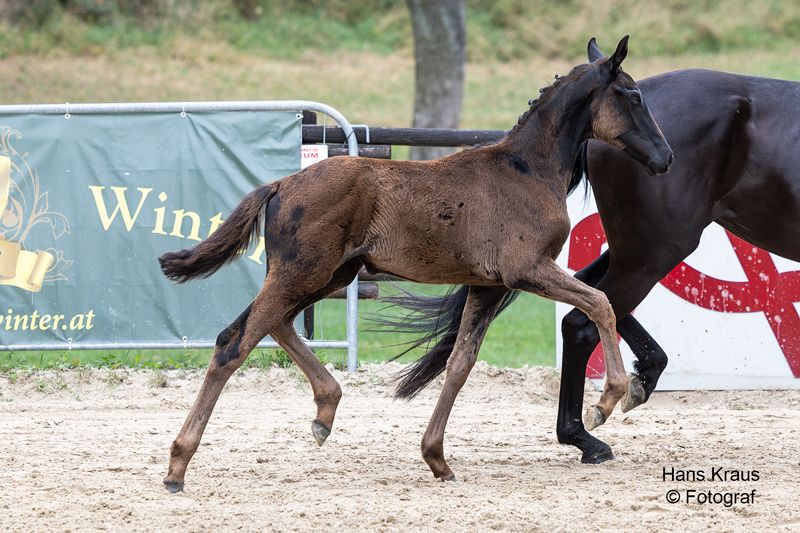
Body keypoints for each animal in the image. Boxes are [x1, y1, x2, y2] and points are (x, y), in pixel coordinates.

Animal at [158, 36, 672, 491]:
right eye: (633, 95)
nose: (665, 157)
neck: (527, 170)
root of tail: (281, 184)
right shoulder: (527, 269)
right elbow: (600, 302)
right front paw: (609, 400)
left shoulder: (487, 285)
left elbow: (460, 364)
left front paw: (436, 458)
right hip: (303, 272)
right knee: (234, 342)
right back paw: (178, 466)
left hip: (329, 274)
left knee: (275, 325)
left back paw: (325, 411)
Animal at [390, 38, 800, 465]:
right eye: (633, 98)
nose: (665, 157)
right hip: (655, 249)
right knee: (584, 319)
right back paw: (587, 430)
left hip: (638, 249)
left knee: (589, 296)